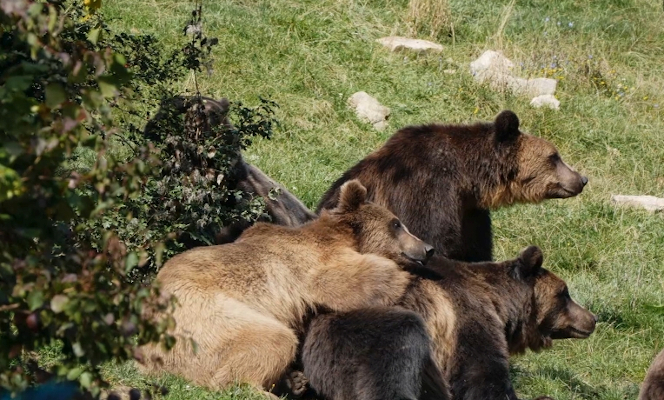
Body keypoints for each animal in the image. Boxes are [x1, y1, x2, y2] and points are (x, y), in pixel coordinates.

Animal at [137, 180, 436, 396]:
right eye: (397, 223)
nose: (428, 248)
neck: (343, 238)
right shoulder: (307, 264)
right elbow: (343, 280)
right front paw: (399, 277)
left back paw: (294, 381)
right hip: (207, 317)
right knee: (269, 339)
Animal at [300, 247, 596, 400]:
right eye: (564, 293)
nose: (591, 319)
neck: (498, 301)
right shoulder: (465, 317)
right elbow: (481, 374)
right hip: (361, 331)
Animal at [316, 109, 588, 262]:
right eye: (554, 156)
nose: (581, 179)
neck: (467, 178)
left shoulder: (471, 214)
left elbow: (475, 250)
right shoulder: (426, 191)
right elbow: (432, 240)